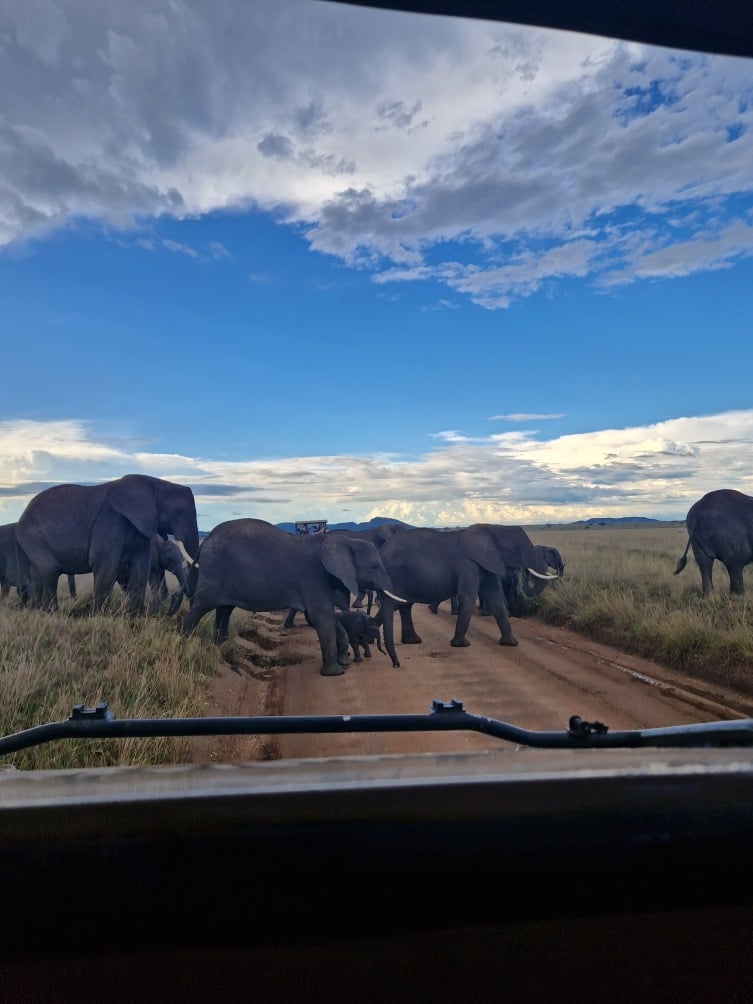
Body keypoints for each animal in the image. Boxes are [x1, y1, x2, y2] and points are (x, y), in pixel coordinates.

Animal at [15, 475, 200, 613]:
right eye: (179, 512)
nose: (175, 603)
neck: (156, 483)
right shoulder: (110, 522)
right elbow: (106, 567)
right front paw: (99, 616)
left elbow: (140, 569)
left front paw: (133, 616)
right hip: (33, 537)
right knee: (50, 571)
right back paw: (51, 613)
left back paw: (38, 609)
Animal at [179, 518, 402, 676]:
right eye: (375, 566)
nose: (395, 665)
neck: (344, 542)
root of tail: (205, 541)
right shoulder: (314, 577)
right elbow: (321, 617)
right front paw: (335, 673)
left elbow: (326, 619)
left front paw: (344, 662)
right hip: (214, 575)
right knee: (200, 607)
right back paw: (182, 639)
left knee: (224, 609)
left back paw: (222, 646)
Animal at [376, 523, 558, 667]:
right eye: (516, 549)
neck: (492, 528)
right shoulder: (467, 565)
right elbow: (468, 596)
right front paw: (462, 645)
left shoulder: (487, 563)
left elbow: (495, 597)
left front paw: (511, 643)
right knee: (397, 605)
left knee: (402, 606)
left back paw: (410, 641)